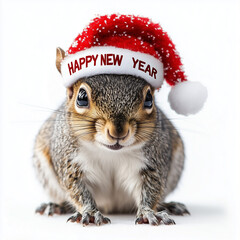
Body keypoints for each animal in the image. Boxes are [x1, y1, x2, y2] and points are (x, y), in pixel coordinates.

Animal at [33, 47, 189, 226]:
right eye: (81, 97)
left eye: (149, 99)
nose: (118, 131)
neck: (110, 152)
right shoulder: (70, 161)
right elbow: (77, 190)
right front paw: (90, 212)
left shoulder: (153, 160)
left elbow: (151, 189)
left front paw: (148, 212)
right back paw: (55, 206)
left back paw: (170, 205)